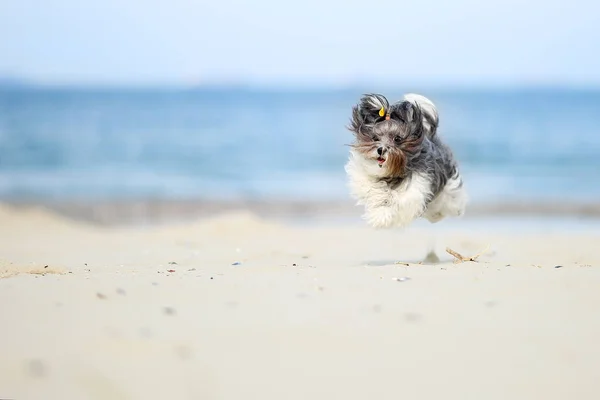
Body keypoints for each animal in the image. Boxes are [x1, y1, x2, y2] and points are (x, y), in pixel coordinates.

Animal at [344, 93, 466, 228]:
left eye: (397, 139)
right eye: (375, 138)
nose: (381, 150)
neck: (391, 173)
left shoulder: (416, 187)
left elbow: (400, 199)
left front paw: (382, 215)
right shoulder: (364, 178)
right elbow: (377, 191)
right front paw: (380, 210)